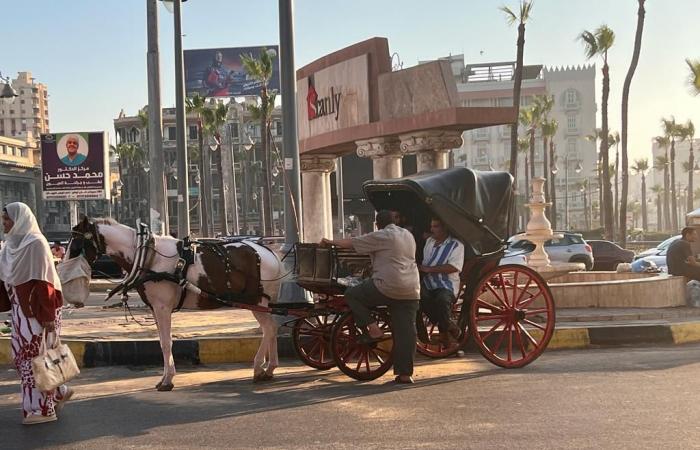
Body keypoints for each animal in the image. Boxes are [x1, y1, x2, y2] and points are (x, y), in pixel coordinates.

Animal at [63, 218, 288, 390]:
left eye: (75, 244)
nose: (61, 267)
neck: (148, 255)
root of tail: (269, 252)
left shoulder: (162, 308)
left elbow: (166, 342)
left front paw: (168, 380)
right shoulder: (155, 309)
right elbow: (162, 341)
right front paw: (164, 378)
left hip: (256, 300)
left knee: (269, 329)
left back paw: (259, 367)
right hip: (262, 302)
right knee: (272, 328)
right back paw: (270, 368)